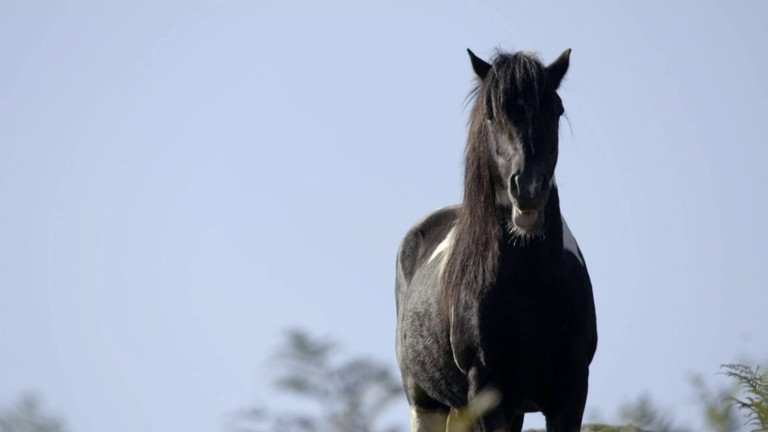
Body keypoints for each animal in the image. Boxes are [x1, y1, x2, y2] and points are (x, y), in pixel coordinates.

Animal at [394, 48, 597, 432]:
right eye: (491, 114)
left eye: (556, 109)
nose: (529, 189)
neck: (531, 283)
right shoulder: (486, 393)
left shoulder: (571, 391)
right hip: (425, 403)